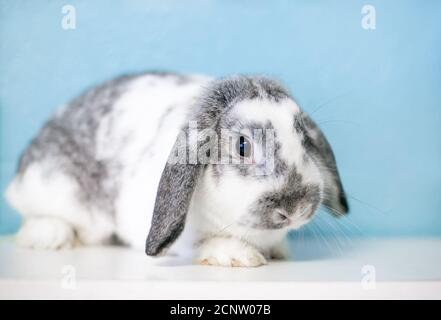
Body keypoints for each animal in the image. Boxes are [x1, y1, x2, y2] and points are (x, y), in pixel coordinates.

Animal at [4, 72, 348, 268]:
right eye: (242, 146)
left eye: (303, 138)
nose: (296, 208)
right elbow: (196, 243)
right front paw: (236, 255)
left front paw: (279, 252)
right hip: (51, 187)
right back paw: (49, 236)